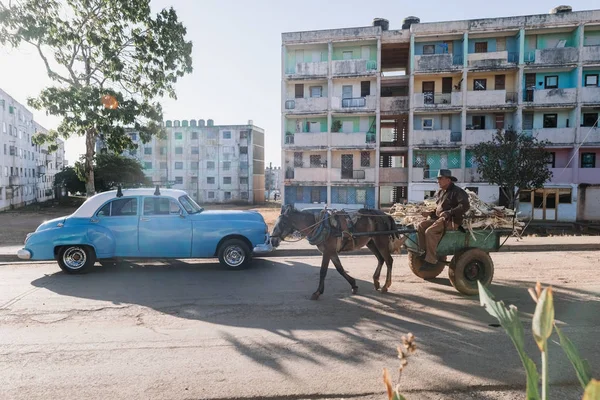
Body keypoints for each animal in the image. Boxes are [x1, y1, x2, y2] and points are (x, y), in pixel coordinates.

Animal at [272, 206, 408, 300]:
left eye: (284, 223)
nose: (272, 240)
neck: (321, 225)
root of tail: (386, 215)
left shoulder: (327, 252)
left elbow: (323, 271)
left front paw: (317, 292)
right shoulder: (332, 252)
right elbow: (340, 269)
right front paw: (353, 285)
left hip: (381, 241)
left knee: (389, 260)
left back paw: (386, 285)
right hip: (371, 242)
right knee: (381, 259)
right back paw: (376, 281)